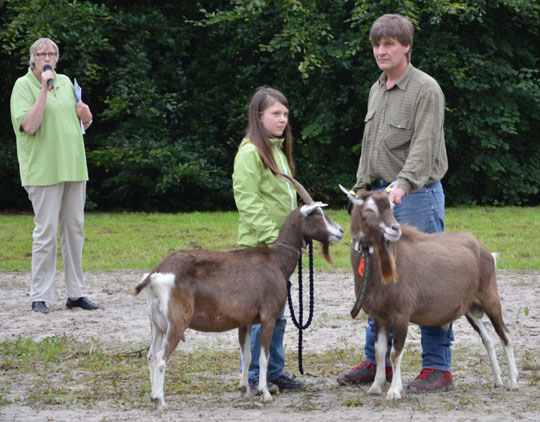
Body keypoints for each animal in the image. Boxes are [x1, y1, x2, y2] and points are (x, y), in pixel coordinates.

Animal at [129, 177, 344, 408]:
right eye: (317, 215)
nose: (341, 231)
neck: (276, 260)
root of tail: (155, 274)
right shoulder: (268, 317)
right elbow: (263, 356)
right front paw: (265, 393)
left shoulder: (245, 321)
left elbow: (247, 356)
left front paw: (244, 390)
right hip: (177, 322)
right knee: (161, 358)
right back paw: (161, 402)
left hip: (157, 324)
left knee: (151, 355)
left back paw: (153, 396)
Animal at [342, 186, 520, 400]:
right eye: (369, 209)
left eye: (392, 207)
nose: (395, 229)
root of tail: (487, 253)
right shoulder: (380, 317)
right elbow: (379, 351)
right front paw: (376, 387)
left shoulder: (401, 315)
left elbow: (395, 353)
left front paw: (393, 391)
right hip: (470, 309)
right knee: (487, 339)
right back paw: (497, 380)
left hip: (490, 299)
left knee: (506, 336)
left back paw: (512, 382)